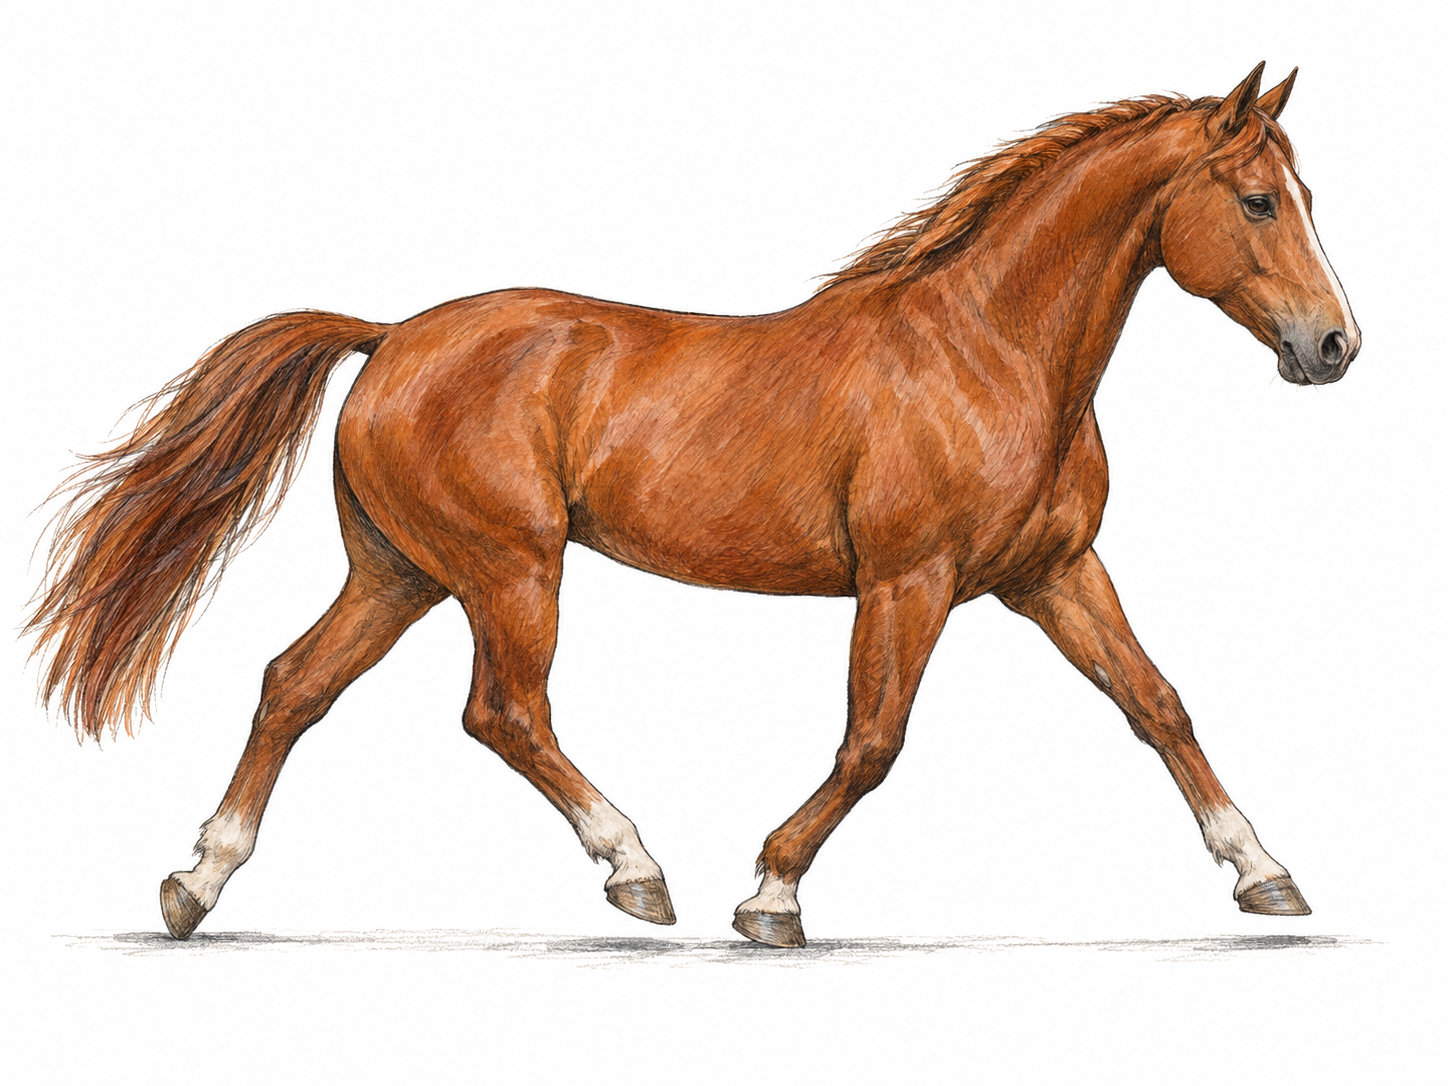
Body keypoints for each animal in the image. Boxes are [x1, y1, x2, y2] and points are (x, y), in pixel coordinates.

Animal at [29, 63, 1358, 946]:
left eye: (1301, 195)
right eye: (1256, 200)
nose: (1333, 346)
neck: (988, 350)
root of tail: (391, 334)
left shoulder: (1051, 573)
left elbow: (1158, 706)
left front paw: (1265, 876)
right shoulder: (908, 580)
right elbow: (873, 741)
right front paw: (768, 896)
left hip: (400, 572)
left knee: (293, 686)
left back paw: (194, 884)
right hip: (510, 568)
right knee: (501, 711)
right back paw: (635, 871)